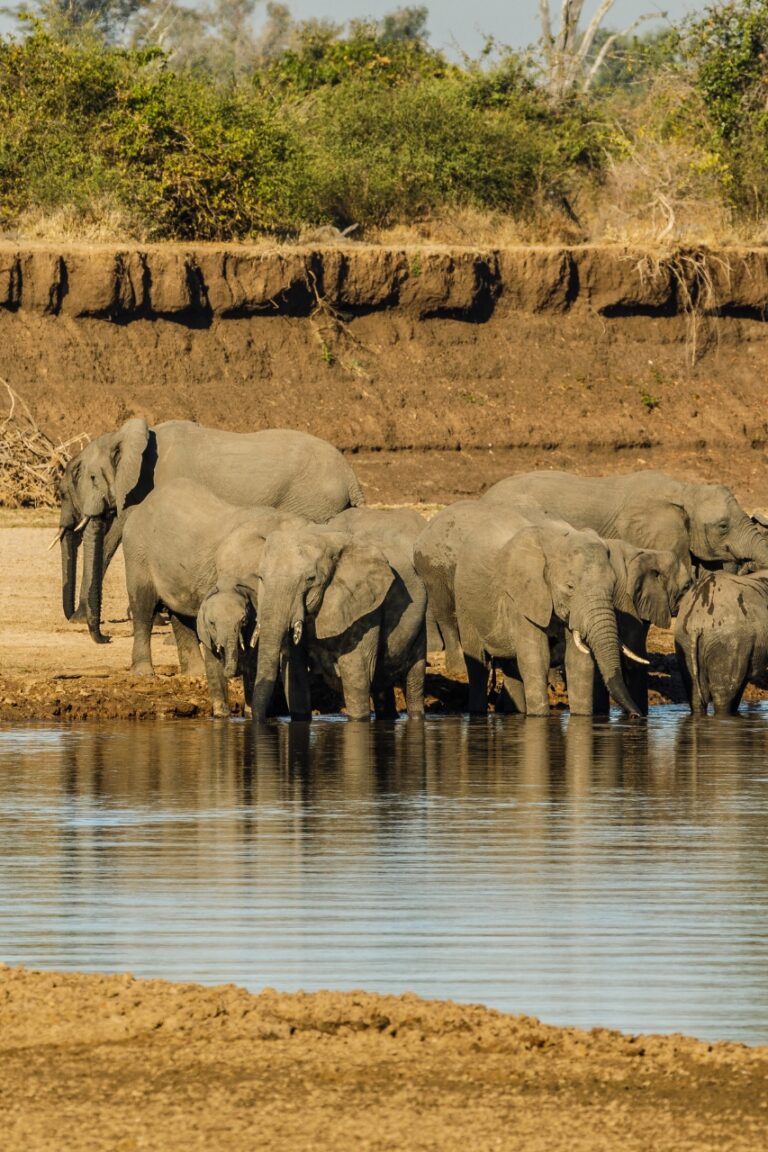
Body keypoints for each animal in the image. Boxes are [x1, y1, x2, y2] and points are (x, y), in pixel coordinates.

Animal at [121, 478, 306, 716]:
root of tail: (141, 505)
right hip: (137, 552)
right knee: (143, 608)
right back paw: (144, 673)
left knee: (182, 615)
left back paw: (195, 673)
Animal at [251, 521, 427, 723]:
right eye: (261, 578)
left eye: (310, 579)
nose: (262, 720)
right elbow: (295, 675)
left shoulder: (365, 608)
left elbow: (356, 674)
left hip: (420, 625)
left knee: (414, 679)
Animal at [414, 499, 688, 712]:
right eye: (569, 587)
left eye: (612, 585)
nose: (637, 717)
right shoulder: (523, 596)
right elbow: (536, 658)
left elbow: (578, 662)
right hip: (463, 597)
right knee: (478, 664)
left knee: (512, 668)